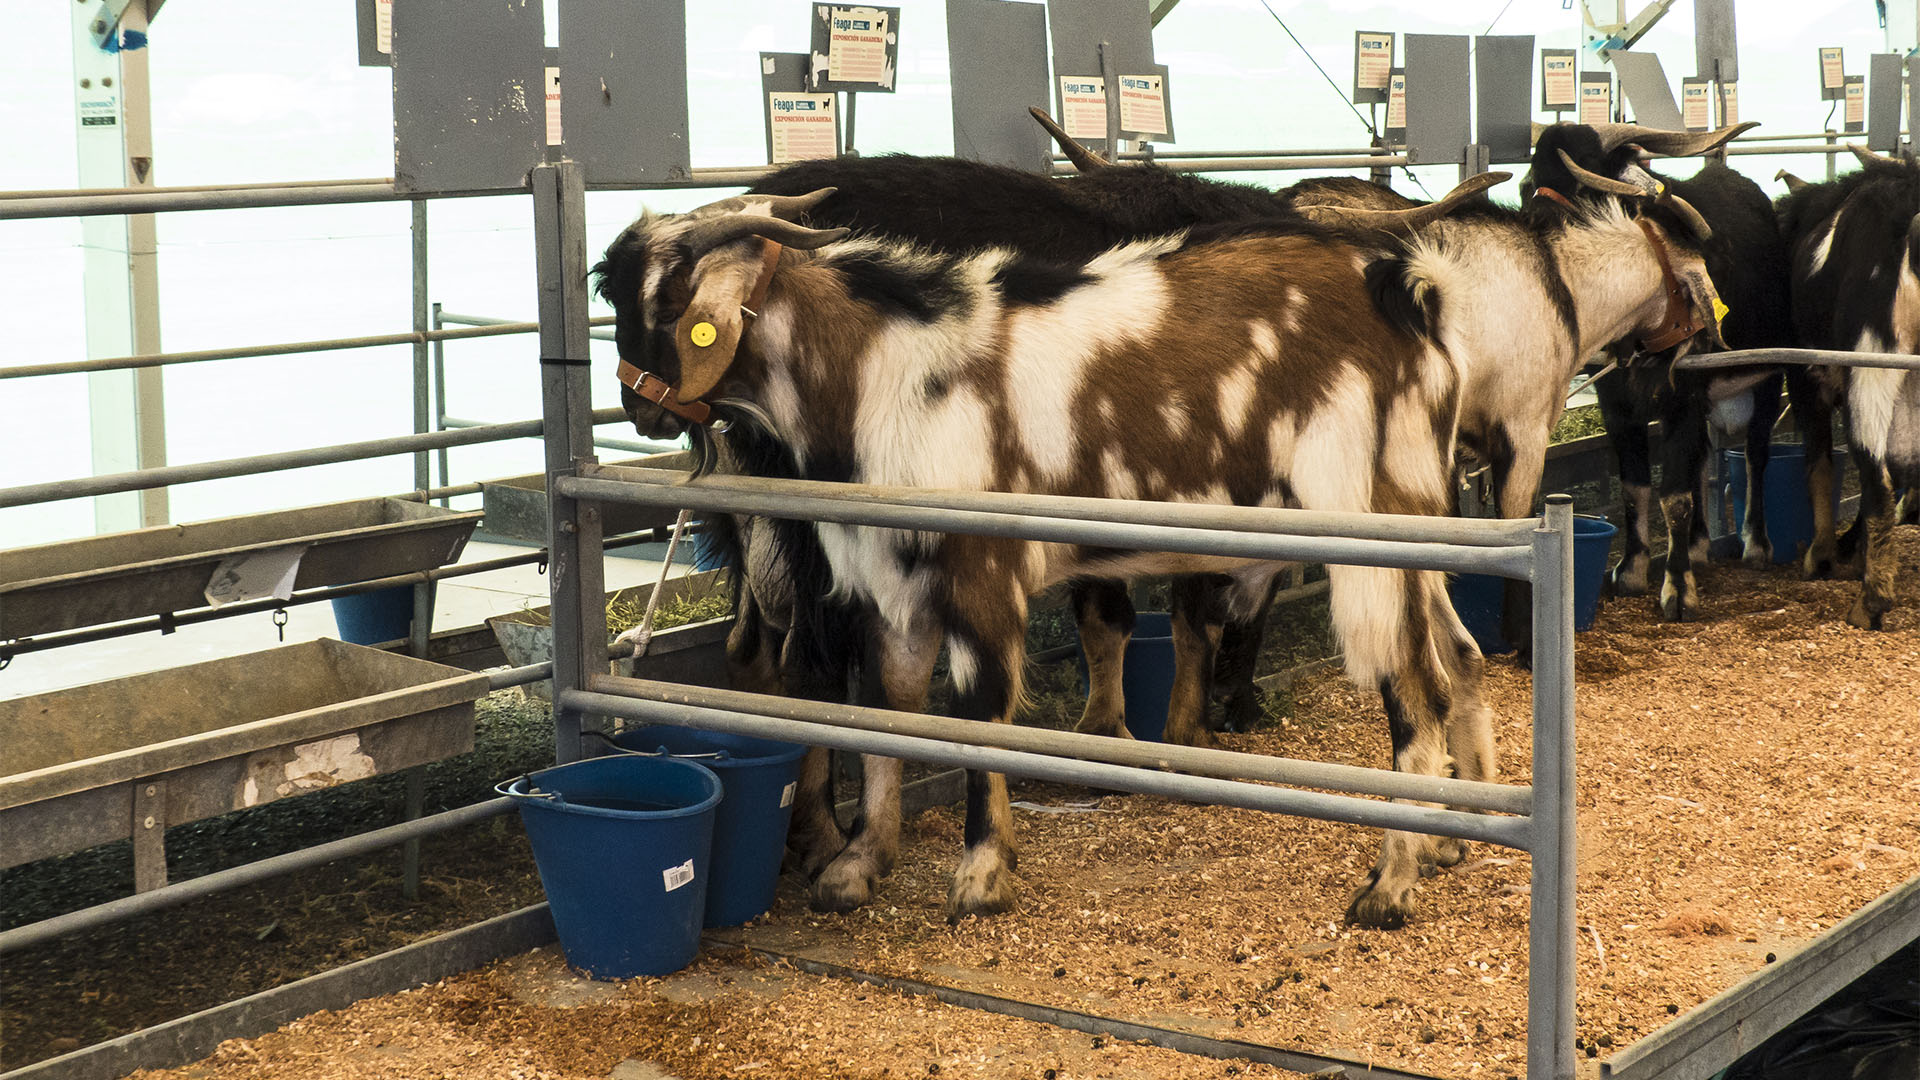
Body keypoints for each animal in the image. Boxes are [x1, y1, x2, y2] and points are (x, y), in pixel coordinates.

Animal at [591, 187, 1489, 926]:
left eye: (666, 299)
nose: (637, 406)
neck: (884, 373)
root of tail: (1408, 300)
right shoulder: (893, 586)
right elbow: (889, 711)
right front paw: (858, 864)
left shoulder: (979, 576)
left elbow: (978, 714)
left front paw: (983, 875)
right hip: (1419, 529)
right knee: (1461, 658)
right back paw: (1453, 838)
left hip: (1368, 531)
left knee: (1414, 686)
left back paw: (1389, 889)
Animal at [1512, 121, 1797, 618]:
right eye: (1529, 184)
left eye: (1585, 189)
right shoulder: (1618, 402)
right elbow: (1635, 487)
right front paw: (1631, 569)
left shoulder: (1683, 395)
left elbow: (1675, 496)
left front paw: (1678, 587)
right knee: (1703, 455)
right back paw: (1701, 546)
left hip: (1766, 376)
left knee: (1756, 453)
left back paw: (1756, 545)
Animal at [1766, 146, 1920, 626]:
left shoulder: (1803, 373)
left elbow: (1819, 460)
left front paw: (1823, 556)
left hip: (1870, 358)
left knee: (1875, 474)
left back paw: (1870, 603)